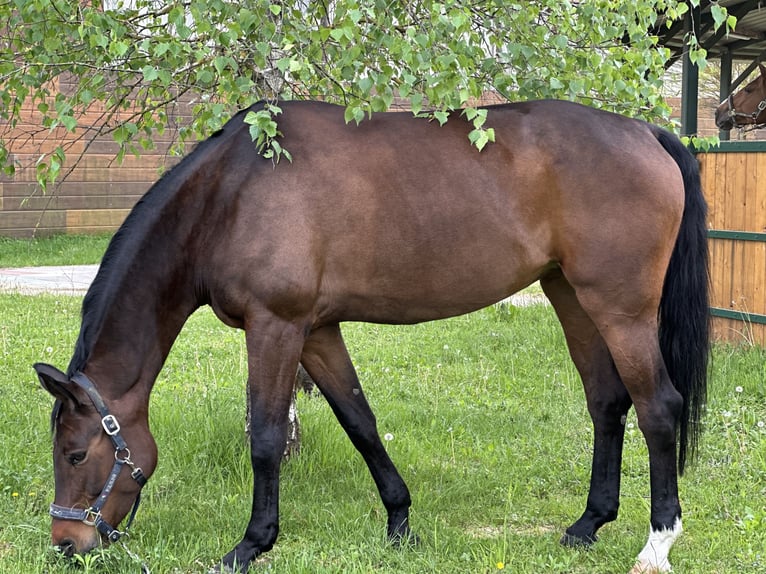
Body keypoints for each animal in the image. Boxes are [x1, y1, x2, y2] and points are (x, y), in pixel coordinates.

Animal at [34, 99, 709, 574]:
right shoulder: (317, 331)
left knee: (658, 409)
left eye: (75, 454)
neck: (229, 195)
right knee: (606, 403)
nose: (67, 542)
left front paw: (251, 545)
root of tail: (644, 132)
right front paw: (400, 521)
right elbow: (359, 420)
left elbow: (266, 438)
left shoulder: (275, 327)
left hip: (621, 309)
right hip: (571, 296)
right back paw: (587, 525)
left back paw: (656, 545)